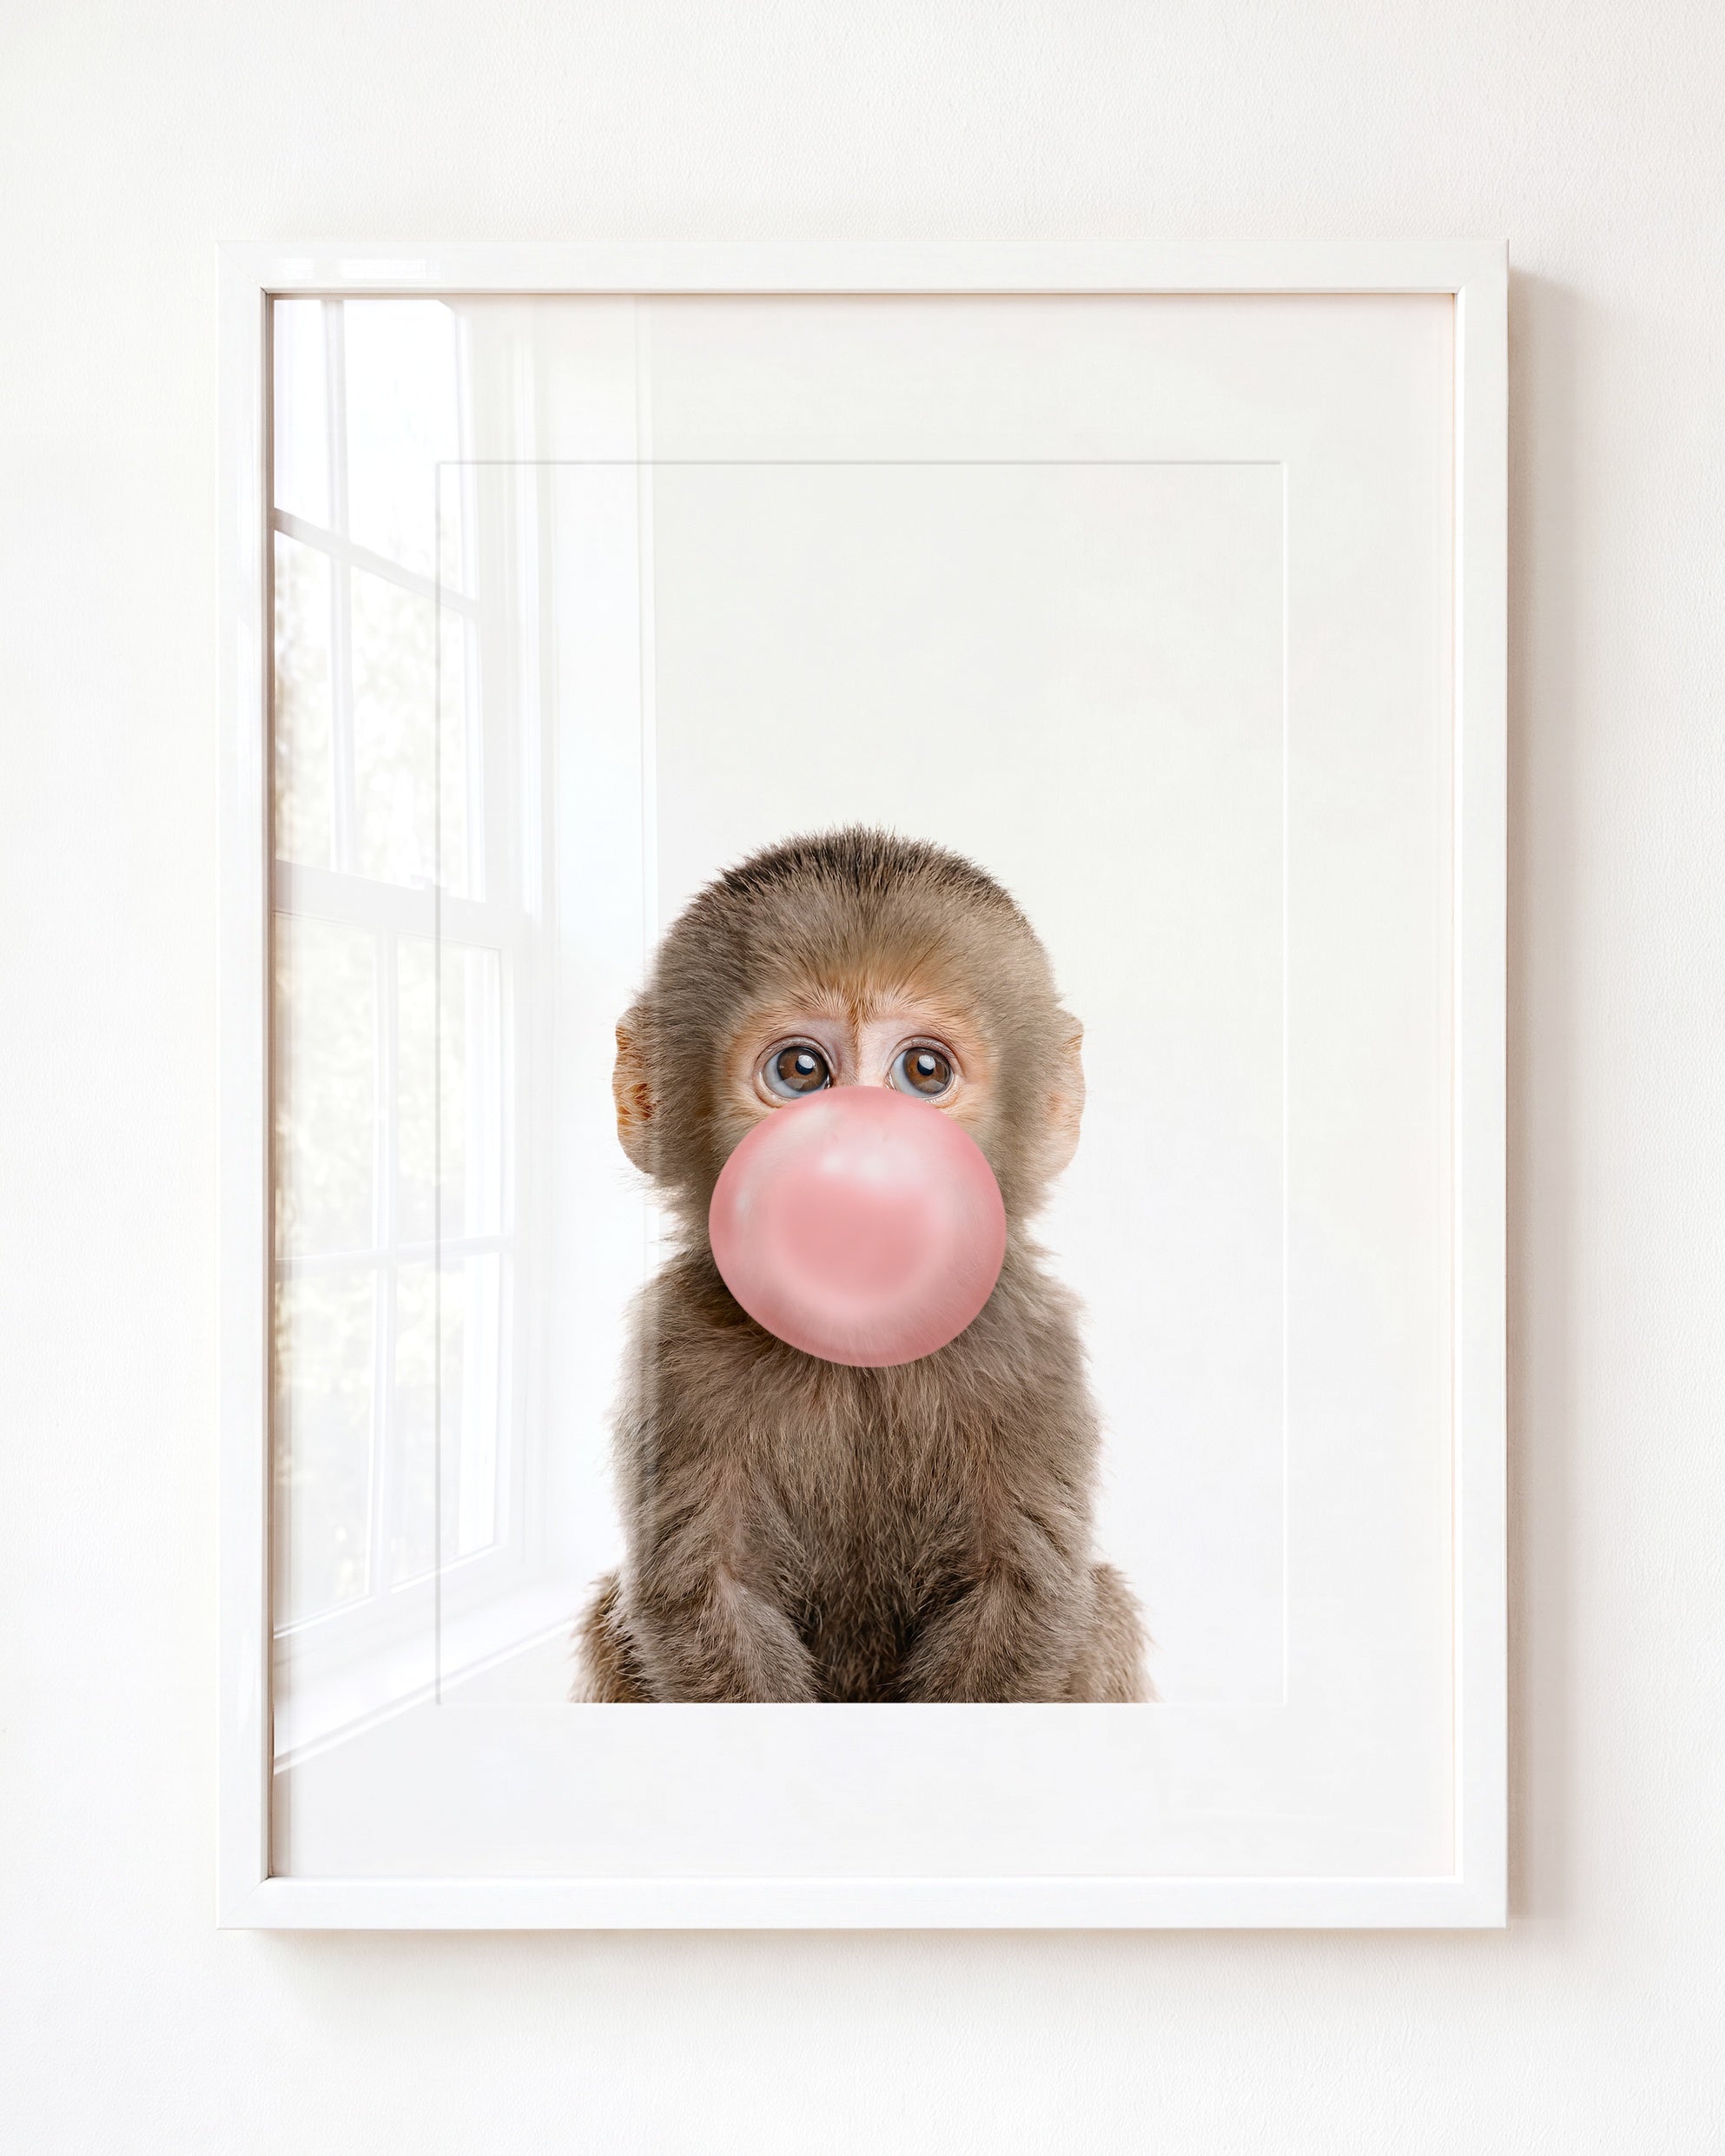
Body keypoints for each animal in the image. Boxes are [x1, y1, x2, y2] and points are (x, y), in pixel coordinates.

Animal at [573, 826, 1148, 1703]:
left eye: (924, 1071)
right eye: (801, 1071)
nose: (862, 1150)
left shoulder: (1032, 1347)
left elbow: (1021, 1592)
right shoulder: (676, 1350)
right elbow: (704, 1594)